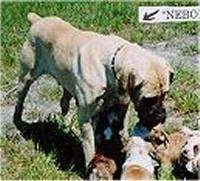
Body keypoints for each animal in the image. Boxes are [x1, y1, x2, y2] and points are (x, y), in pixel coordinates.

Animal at [13, 12, 173, 175]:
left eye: (165, 95)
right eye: (149, 99)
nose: (161, 116)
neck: (110, 66)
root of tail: (38, 20)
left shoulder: (122, 109)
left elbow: (123, 133)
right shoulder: (87, 118)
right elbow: (90, 146)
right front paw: (91, 166)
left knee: (65, 99)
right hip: (26, 77)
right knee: (20, 100)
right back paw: (18, 121)